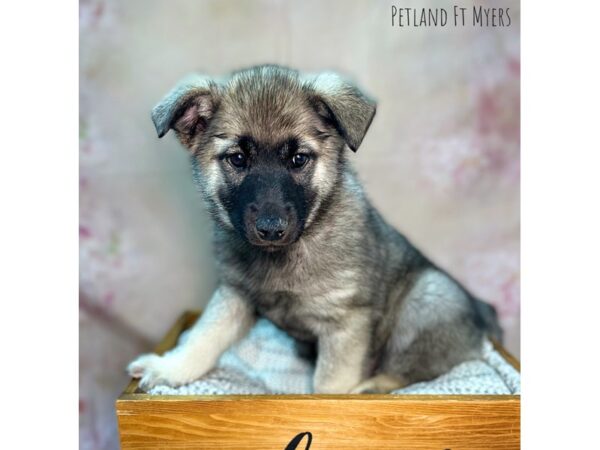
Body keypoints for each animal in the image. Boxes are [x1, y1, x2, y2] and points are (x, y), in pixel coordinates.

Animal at [127, 64, 502, 394]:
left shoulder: (345, 325)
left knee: (412, 369)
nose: (271, 229)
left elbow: (329, 386)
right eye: (237, 159)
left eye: (298, 159)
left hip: (427, 300)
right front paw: (172, 367)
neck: (285, 254)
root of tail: (482, 312)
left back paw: (371, 387)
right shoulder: (235, 295)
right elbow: (205, 336)